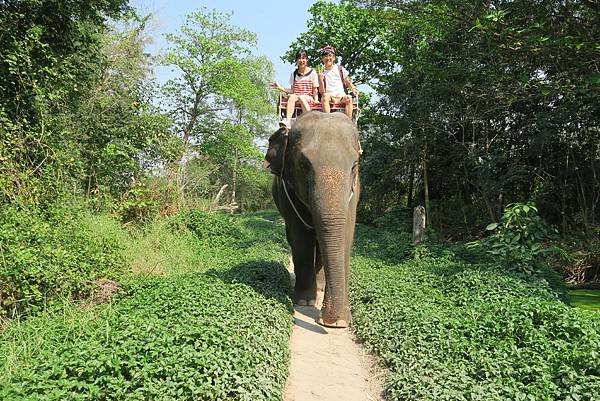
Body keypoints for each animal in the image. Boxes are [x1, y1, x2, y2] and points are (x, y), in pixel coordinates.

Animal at [264, 111, 360, 326]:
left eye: (354, 166)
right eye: (303, 164)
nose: (323, 320)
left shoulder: (355, 193)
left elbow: (345, 238)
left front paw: (341, 322)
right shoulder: (288, 191)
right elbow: (301, 238)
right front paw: (304, 302)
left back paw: (322, 286)